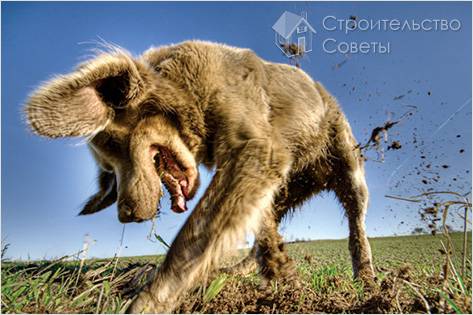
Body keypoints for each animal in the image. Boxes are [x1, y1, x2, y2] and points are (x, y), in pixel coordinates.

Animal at [24, 40, 372, 314]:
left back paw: (367, 285)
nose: (127, 215)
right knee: (264, 228)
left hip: (349, 169)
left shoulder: (257, 151)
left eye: (115, 143)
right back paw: (260, 271)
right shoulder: (254, 170)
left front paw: (147, 301)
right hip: (282, 192)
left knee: (357, 230)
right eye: (108, 168)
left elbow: (194, 237)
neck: (184, 86)